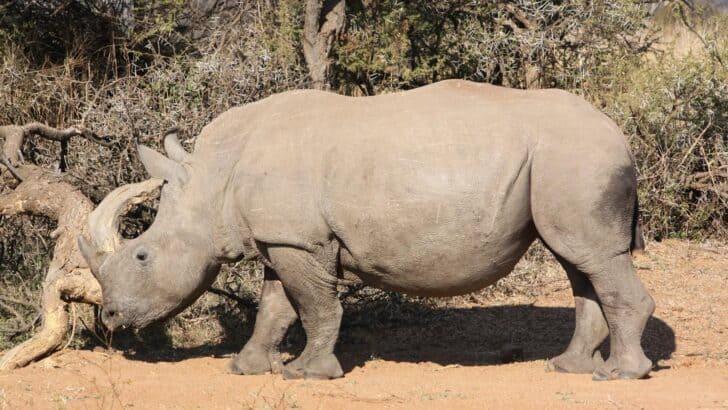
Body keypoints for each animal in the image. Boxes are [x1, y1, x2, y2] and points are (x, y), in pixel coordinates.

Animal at [78, 80, 655, 381]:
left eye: (142, 257)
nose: (110, 319)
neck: (212, 179)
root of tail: (619, 133)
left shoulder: (299, 240)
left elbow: (315, 306)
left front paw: (306, 374)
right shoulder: (281, 237)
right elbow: (275, 306)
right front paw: (246, 369)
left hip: (577, 157)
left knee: (593, 259)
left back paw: (620, 375)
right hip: (564, 163)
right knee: (579, 262)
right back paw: (568, 368)